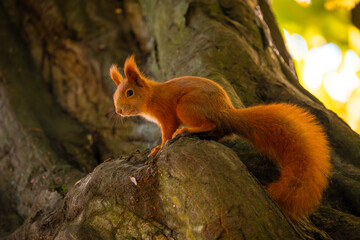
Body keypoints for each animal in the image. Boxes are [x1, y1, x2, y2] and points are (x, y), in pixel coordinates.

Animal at [110, 55, 332, 219]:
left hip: (186, 106)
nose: (119, 111)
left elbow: (167, 132)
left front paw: (159, 147)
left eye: (130, 92)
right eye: (114, 96)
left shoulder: (167, 113)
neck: (152, 96)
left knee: (210, 124)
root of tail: (224, 113)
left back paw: (188, 130)